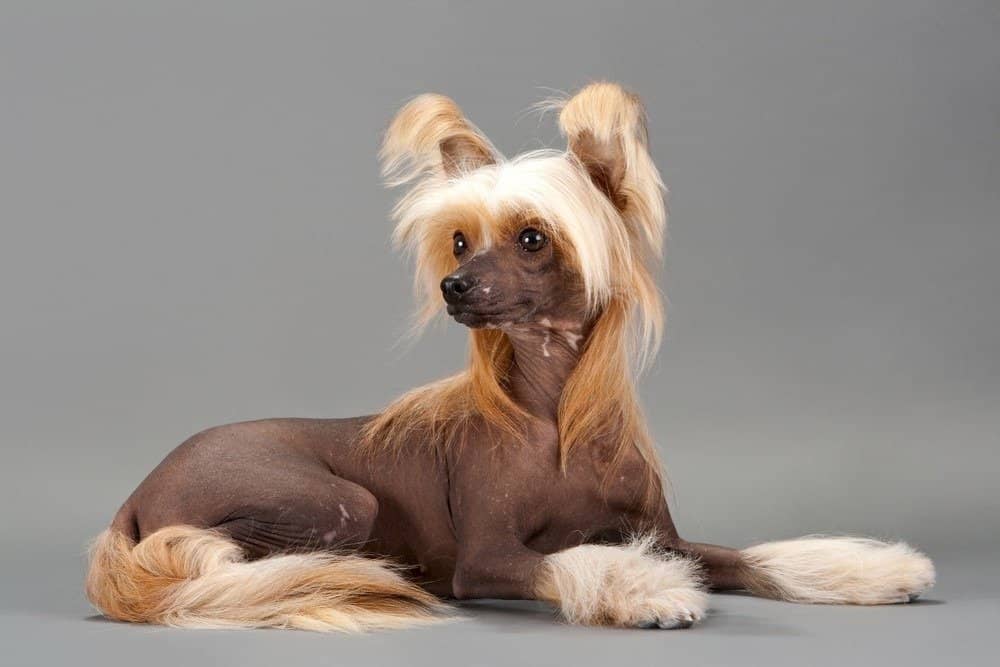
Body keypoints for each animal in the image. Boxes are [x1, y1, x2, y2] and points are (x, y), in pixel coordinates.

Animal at [86, 82, 936, 632]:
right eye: (460, 240)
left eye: (532, 237)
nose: (454, 285)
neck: (557, 413)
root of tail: (137, 490)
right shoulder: (488, 555)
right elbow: (562, 561)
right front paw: (646, 592)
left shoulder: (669, 535)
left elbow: (753, 556)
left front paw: (873, 570)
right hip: (336, 501)